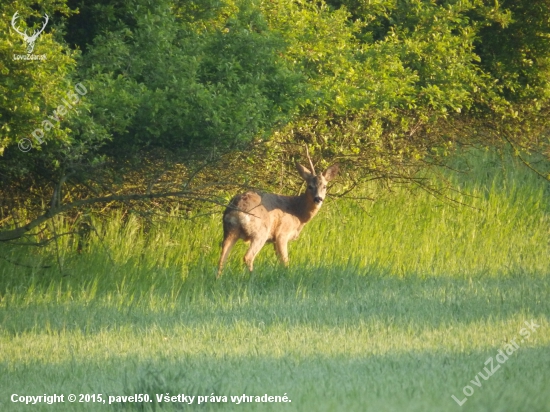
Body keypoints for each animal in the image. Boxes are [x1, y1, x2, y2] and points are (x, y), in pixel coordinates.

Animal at [217, 150, 338, 278]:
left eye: (324, 186)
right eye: (310, 186)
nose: (318, 199)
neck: (298, 214)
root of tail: (237, 209)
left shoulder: (275, 240)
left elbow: (280, 261)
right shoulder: (282, 233)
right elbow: (285, 262)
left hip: (229, 230)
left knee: (223, 256)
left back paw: (218, 278)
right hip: (260, 232)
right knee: (247, 257)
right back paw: (252, 278)